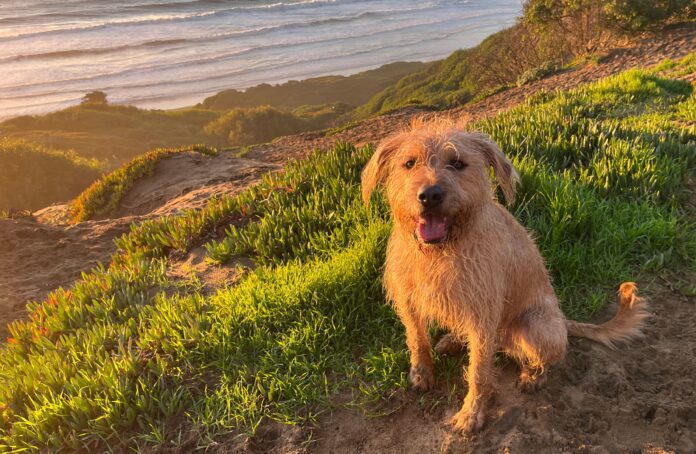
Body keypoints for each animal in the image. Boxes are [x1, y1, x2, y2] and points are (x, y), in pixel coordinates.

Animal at [362, 119, 648, 434]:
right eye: (409, 163)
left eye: (458, 163)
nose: (430, 195)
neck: (440, 253)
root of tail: (563, 321)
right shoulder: (408, 298)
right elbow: (417, 338)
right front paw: (422, 373)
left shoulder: (483, 315)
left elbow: (478, 371)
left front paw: (471, 414)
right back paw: (452, 340)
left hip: (535, 325)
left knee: (552, 355)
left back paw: (533, 375)